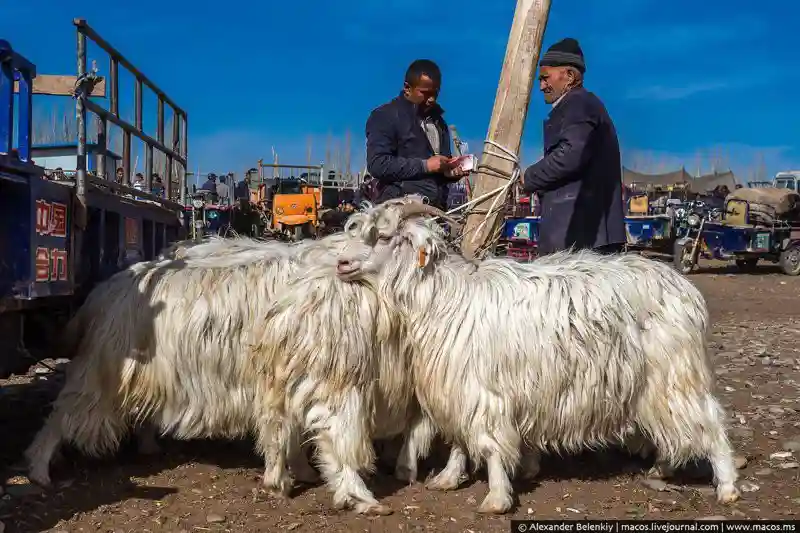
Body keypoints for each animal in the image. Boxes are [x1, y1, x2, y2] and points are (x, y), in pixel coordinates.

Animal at [25, 235, 346, 488]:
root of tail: (102, 292)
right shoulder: (277, 380)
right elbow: (283, 431)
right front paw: (281, 480)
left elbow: (294, 431)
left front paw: (303, 472)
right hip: (100, 370)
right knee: (63, 413)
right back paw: (38, 471)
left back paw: (148, 447)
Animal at [334, 197, 740, 512]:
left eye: (384, 236)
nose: (341, 264)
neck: (444, 296)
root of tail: (686, 290)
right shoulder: (458, 389)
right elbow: (462, 439)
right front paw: (449, 478)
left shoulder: (484, 391)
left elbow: (489, 444)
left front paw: (496, 498)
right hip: (655, 384)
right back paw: (661, 469)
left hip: (676, 373)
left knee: (709, 423)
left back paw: (727, 487)